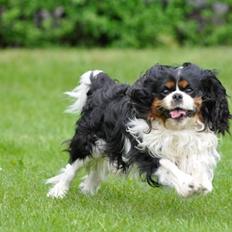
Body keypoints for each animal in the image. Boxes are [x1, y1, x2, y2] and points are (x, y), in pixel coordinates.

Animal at [45, 63, 230, 198]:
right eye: (165, 91)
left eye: (189, 90)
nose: (177, 96)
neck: (176, 128)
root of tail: (102, 89)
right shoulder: (145, 149)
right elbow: (168, 165)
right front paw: (188, 185)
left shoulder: (196, 147)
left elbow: (198, 166)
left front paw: (202, 183)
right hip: (91, 141)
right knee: (73, 165)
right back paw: (58, 192)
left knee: (97, 169)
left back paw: (88, 190)